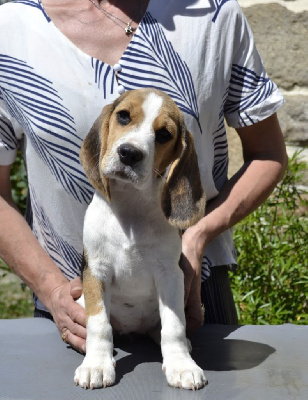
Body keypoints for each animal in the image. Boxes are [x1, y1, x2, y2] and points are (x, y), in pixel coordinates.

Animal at [73, 88, 206, 390]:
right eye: (123, 116)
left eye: (164, 134)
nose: (129, 154)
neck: (132, 205)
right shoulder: (96, 271)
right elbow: (99, 324)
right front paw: (96, 365)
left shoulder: (170, 275)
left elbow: (174, 326)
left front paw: (181, 366)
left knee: (165, 330)